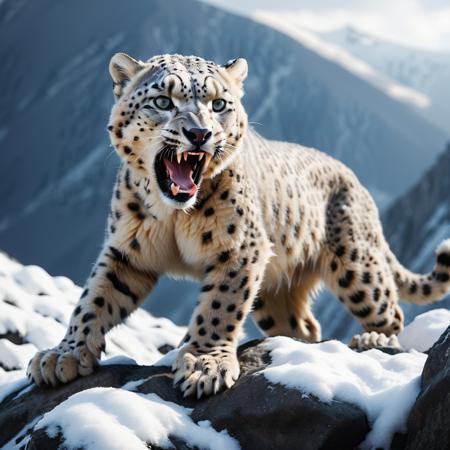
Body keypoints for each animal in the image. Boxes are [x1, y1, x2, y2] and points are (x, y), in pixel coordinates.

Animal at [27, 51, 450, 398]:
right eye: (163, 101)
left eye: (218, 104)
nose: (199, 133)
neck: (173, 216)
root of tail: (357, 182)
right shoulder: (127, 250)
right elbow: (94, 300)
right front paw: (62, 355)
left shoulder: (240, 249)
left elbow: (220, 306)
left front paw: (203, 364)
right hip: (274, 293)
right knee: (303, 325)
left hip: (356, 264)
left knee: (388, 309)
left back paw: (371, 338)